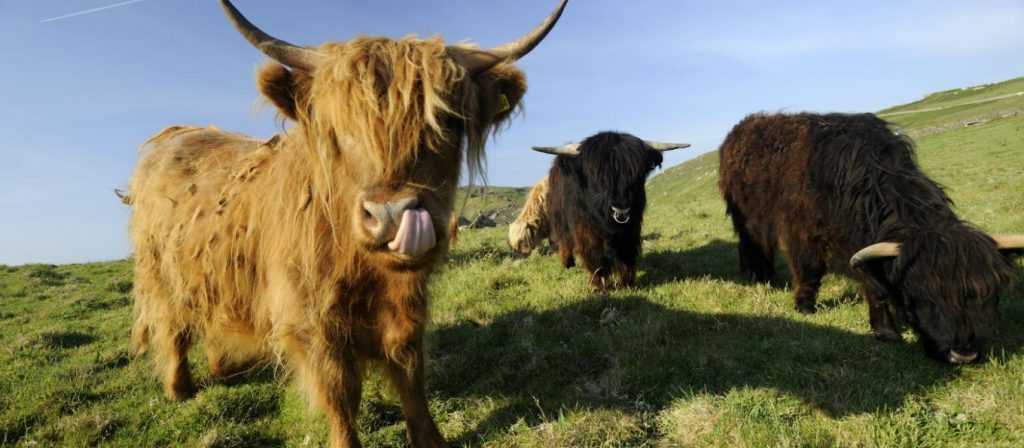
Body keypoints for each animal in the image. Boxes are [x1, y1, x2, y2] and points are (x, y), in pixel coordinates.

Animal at [122, 1, 569, 445]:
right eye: (339, 128)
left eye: (449, 122)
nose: (392, 215)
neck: (366, 272)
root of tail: (176, 134)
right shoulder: (312, 319)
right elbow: (340, 391)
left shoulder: (408, 306)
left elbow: (410, 371)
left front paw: (431, 438)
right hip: (162, 274)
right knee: (172, 328)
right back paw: (179, 389)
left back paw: (222, 368)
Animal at [532, 130, 692, 288]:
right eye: (595, 177)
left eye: (637, 175)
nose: (621, 209)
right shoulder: (585, 229)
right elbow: (595, 256)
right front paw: (600, 285)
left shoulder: (631, 229)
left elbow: (626, 254)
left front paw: (627, 283)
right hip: (559, 217)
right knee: (564, 239)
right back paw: (568, 263)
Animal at [720, 112, 1024, 364]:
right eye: (923, 294)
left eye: (988, 295)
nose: (963, 354)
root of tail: (740, 128)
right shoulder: (802, 230)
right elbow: (811, 269)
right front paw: (806, 306)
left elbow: (873, 284)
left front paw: (884, 330)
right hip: (745, 214)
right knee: (751, 244)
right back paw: (758, 276)